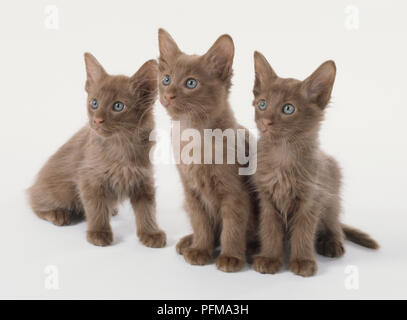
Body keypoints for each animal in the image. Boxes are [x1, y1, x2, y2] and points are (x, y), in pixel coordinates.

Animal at [27, 53, 167, 248]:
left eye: (118, 106)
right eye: (94, 103)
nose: (97, 120)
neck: (121, 147)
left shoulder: (143, 179)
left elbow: (147, 209)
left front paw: (151, 233)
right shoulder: (90, 179)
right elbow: (96, 208)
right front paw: (98, 232)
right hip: (60, 191)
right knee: (35, 202)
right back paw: (58, 213)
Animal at [157, 28, 256, 272]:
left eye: (191, 83)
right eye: (166, 79)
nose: (168, 95)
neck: (194, 136)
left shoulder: (234, 192)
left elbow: (232, 227)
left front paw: (230, 257)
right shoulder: (191, 191)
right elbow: (200, 222)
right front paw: (200, 249)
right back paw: (188, 242)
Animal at [252, 51, 380, 276]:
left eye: (288, 108)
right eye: (262, 104)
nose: (266, 121)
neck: (283, 156)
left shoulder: (312, 198)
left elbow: (303, 232)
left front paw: (302, 261)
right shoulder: (267, 198)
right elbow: (270, 230)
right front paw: (270, 258)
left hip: (332, 195)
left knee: (335, 224)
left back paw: (331, 243)